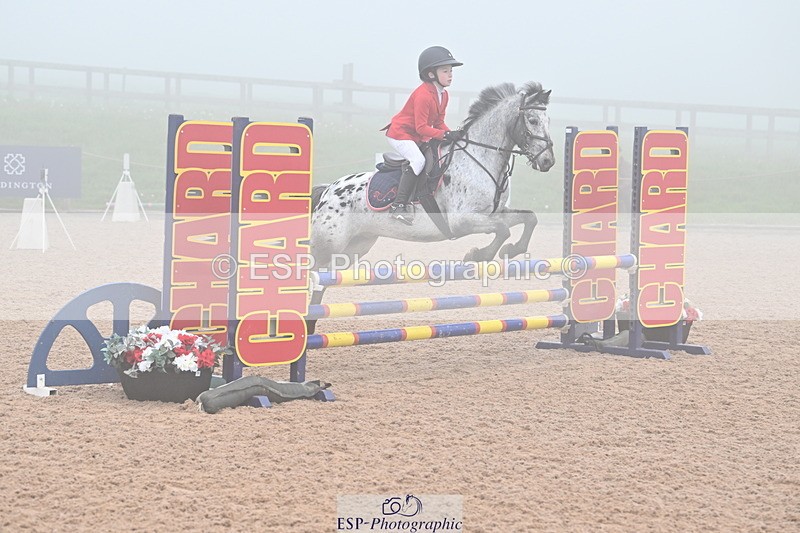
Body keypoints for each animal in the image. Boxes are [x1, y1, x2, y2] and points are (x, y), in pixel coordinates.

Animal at [310, 81, 554, 269]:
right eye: (533, 120)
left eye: (549, 121)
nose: (548, 161)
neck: (480, 157)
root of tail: (328, 190)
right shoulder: (463, 221)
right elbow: (503, 230)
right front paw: (478, 255)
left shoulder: (495, 213)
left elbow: (529, 218)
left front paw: (511, 250)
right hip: (328, 245)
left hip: (356, 246)